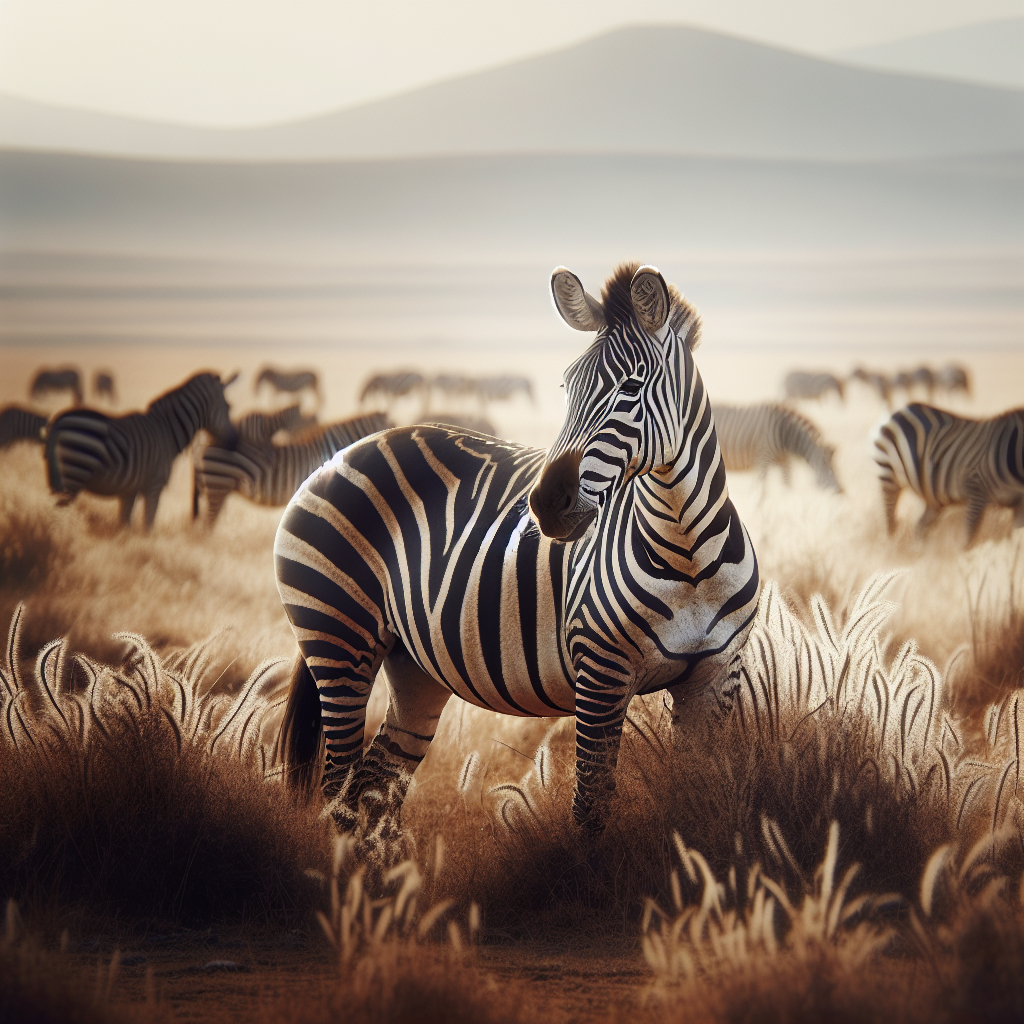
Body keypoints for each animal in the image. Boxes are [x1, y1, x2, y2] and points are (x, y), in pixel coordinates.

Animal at [46, 372, 238, 529]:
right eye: (229, 407)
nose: (234, 444)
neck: (168, 431)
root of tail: (59, 420)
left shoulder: (131, 490)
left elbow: (125, 524)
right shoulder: (154, 485)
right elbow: (148, 525)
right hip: (75, 474)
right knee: (58, 514)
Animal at [275, 263, 760, 840]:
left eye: (632, 387)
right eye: (567, 386)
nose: (547, 503)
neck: (687, 557)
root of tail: (344, 451)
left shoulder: (714, 680)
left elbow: (692, 805)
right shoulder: (601, 675)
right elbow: (590, 809)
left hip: (412, 662)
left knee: (374, 785)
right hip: (336, 635)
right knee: (338, 788)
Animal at [712, 403, 840, 491]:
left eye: (836, 469)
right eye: (829, 470)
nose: (841, 491)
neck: (784, 434)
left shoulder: (785, 460)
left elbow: (787, 485)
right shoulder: (763, 458)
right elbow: (761, 488)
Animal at [872, 403, 1024, 542]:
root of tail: (898, 411)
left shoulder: (1019, 505)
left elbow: (1016, 541)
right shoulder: (977, 490)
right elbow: (969, 539)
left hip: (933, 498)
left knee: (920, 527)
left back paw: (918, 551)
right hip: (889, 478)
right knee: (891, 521)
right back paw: (893, 547)